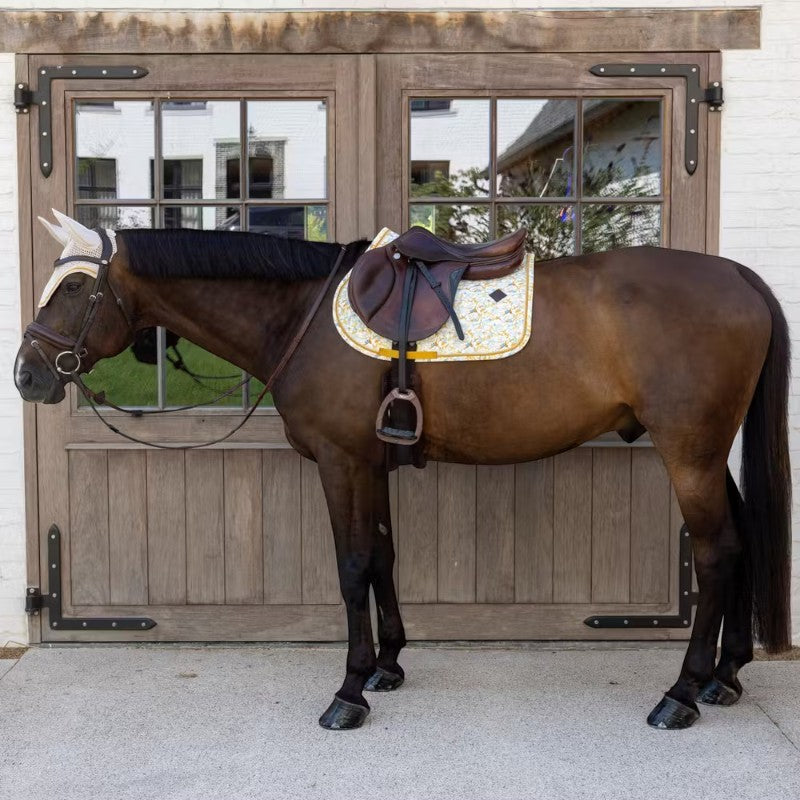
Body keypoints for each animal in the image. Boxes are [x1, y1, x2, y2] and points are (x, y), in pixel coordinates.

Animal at [14, 211, 791, 731]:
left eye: (74, 291)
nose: (26, 375)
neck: (299, 315)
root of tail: (739, 275)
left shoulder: (340, 461)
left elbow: (352, 565)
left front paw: (348, 691)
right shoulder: (371, 463)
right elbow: (383, 556)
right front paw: (388, 665)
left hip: (687, 451)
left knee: (716, 554)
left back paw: (681, 694)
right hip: (707, 453)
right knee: (741, 541)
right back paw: (725, 677)